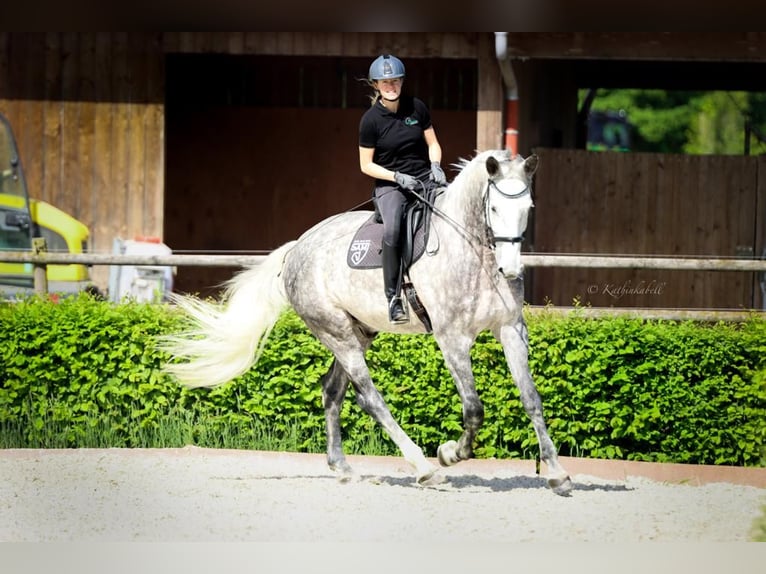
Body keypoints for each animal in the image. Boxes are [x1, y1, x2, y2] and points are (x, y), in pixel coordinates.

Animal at [168, 151, 576, 498]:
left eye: (527, 208)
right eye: (493, 207)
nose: (511, 269)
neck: (475, 253)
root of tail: (296, 248)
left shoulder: (511, 330)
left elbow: (532, 399)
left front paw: (557, 473)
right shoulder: (452, 340)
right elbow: (474, 409)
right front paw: (449, 453)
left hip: (357, 332)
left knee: (332, 391)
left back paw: (343, 467)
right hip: (336, 332)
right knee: (370, 399)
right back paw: (424, 467)